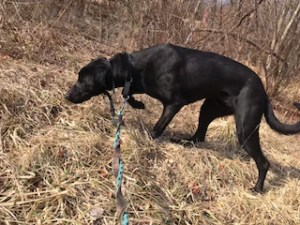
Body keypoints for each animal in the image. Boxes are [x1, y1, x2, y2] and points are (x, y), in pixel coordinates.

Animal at [65, 44, 300, 192]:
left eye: (82, 81)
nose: (67, 96)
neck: (135, 66)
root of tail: (263, 91)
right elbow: (127, 93)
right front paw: (138, 103)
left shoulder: (173, 104)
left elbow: (157, 127)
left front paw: (148, 140)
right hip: (209, 108)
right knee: (199, 136)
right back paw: (183, 141)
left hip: (246, 127)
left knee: (263, 162)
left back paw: (258, 189)